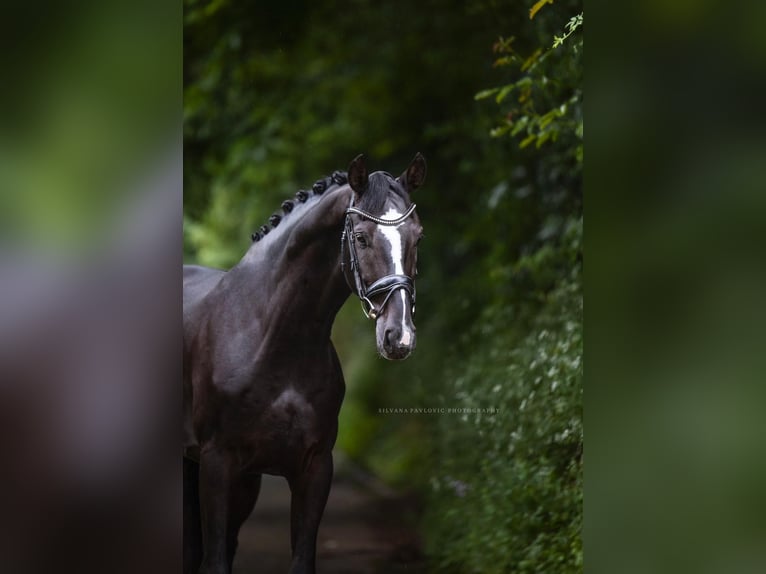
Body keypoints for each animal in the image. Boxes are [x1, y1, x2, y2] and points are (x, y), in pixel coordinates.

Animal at [184, 153, 428, 574]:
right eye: (361, 237)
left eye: (418, 236)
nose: (399, 336)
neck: (274, 340)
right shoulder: (217, 464)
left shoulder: (313, 468)